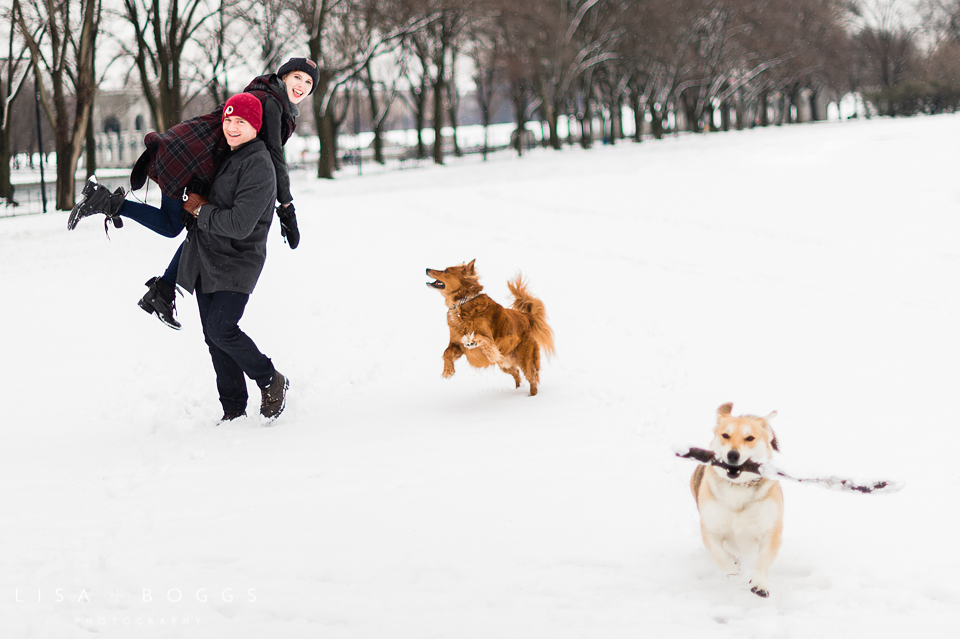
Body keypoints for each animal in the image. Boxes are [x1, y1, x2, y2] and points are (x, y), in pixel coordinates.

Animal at [428, 260, 556, 396]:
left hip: (525, 359)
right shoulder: (457, 345)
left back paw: (531, 396)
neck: (461, 306)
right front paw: (447, 371)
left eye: (446, 271)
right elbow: (446, 353)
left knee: (533, 378)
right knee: (516, 373)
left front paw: (472, 341)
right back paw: (516, 389)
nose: (426, 269)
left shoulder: (490, 340)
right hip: (505, 364)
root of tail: (526, 316)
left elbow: (482, 338)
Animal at [692, 402, 784, 596]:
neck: (739, 487)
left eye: (749, 438)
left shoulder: (771, 530)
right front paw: (732, 566)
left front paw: (759, 584)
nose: (732, 455)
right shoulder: (710, 528)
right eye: (725, 435)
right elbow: (719, 554)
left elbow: (764, 558)